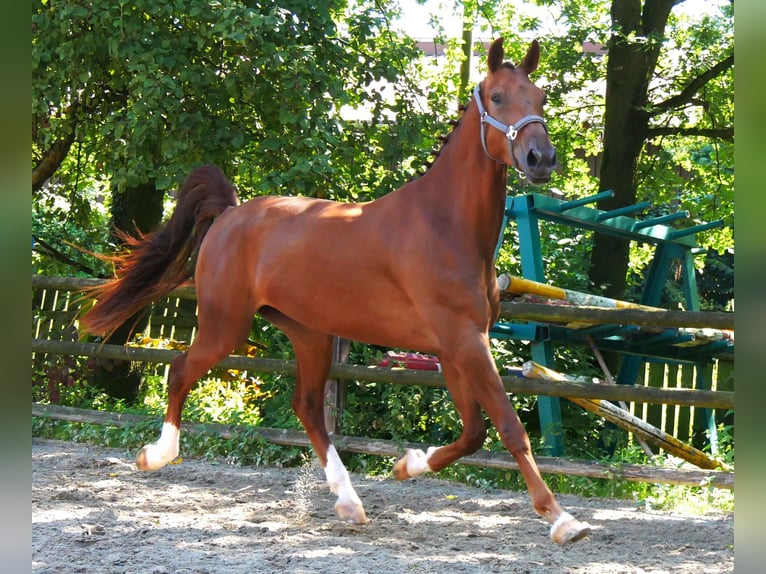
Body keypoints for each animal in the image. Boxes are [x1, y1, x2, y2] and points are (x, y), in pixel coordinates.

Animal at [79, 39, 592, 544]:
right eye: (498, 97)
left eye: (541, 97)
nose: (541, 159)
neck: (444, 225)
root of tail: (229, 213)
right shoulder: (464, 341)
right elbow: (508, 427)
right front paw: (562, 520)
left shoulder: (452, 348)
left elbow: (474, 432)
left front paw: (406, 465)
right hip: (226, 325)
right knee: (181, 371)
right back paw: (156, 455)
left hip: (310, 334)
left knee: (307, 407)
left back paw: (349, 502)